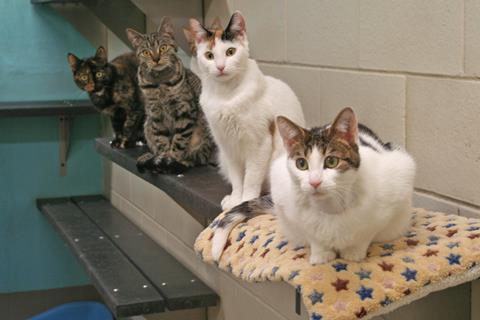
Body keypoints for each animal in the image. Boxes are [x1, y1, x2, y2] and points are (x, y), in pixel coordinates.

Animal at [125, 16, 214, 174]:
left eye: (163, 47)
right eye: (146, 52)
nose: (156, 59)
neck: (160, 83)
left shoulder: (184, 110)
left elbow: (179, 140)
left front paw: (172, 158)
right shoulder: (155, 114)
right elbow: (161, 140)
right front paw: (162, 157)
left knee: (196, 157)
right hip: (147, 124)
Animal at [189, 11, 306, 210]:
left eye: (230, 52)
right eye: (209, 55)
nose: (220, 67)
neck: (226, 96)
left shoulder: (259, 144)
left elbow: (250, 179)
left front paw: (245, 201)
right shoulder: (227, 146)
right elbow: (237, 179)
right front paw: (235, 199)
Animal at [210, 109, 416, 264]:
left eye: (331, 161)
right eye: (301, 164)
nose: (314, 181)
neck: (330, 208)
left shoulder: (391, 195)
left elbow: (366, 234)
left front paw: (354, 253)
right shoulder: (289, 206)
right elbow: (313, 236)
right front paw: (321, 255)